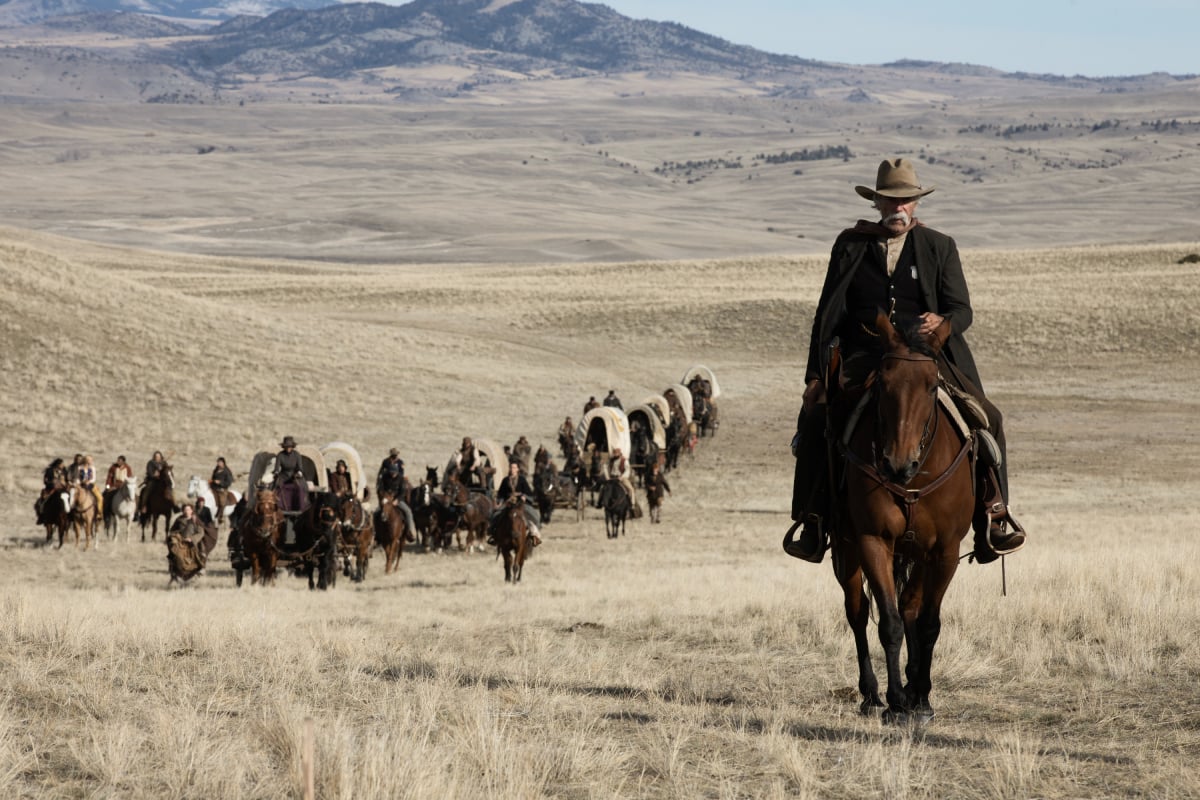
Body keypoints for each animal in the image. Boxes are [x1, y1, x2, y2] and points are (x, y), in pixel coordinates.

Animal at [830, 316, 979, 729]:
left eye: (931, 385)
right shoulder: (873, 541)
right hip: (847, 551)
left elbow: (926, 622)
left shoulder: (945, 551)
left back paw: (914, 688)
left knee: (911, 605)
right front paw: (896, 701)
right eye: (883, 382)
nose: (898, 463)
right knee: (857, 611)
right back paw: (871, 694)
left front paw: (921, 697)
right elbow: (890, 622)